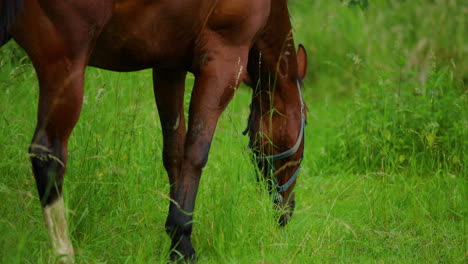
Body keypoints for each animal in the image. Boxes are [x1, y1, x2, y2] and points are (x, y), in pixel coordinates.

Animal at [0, 0, 308, 262]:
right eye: (306, 117)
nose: (289, 210)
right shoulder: (224, 61)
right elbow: (195, 153)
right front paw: (183, 242)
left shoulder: (167, 67)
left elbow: (174, 153)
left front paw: (176, 237)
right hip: (65, 64)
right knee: (48, 154)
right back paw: (64, 252)